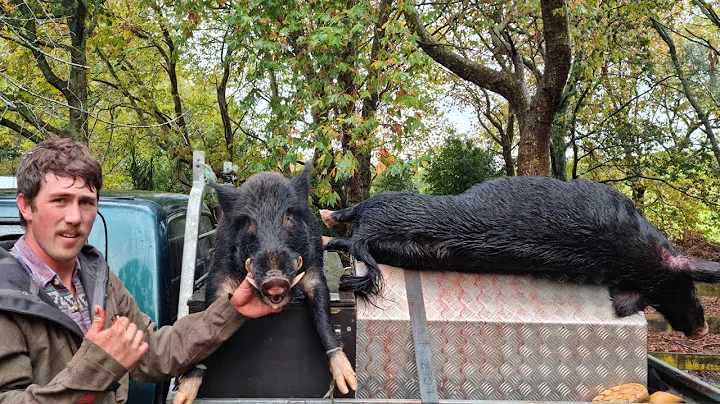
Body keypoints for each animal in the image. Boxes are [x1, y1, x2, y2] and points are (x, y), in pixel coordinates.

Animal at [173, 163, 356, 404]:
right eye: (249, 222)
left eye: (288, 217)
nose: (275, 277)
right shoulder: (221, 267)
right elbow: (211, 314)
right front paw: (182, 396)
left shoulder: (314, 264)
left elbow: (322, 313)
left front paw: (348, 383)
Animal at [320, 176, 720, 340]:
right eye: (690, 287)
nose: (700, 331)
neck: (636, 253)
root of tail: (372, 233)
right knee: (347, 228)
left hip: (384, 206)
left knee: (349, 226)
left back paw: (327, 223)